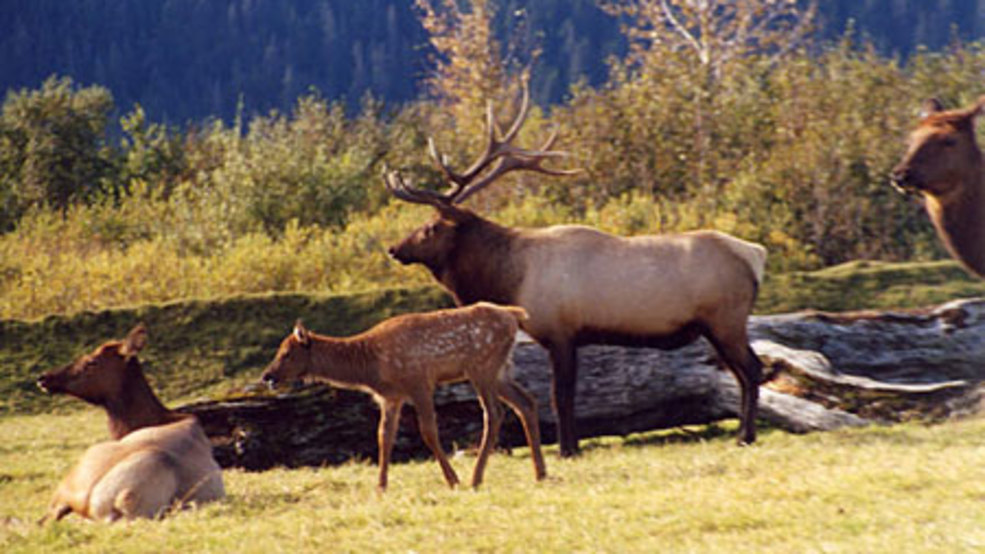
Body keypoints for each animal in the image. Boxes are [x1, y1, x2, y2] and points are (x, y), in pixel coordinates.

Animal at [259, 302, 547, 490]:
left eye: (287, 353)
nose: (267, 376)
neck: (372, 367)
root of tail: (514, 315)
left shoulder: (419, 381)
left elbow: (428, 431)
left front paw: (452, 480)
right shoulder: (390, 397)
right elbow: (384, 436)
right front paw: (381, 486)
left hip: (482, 367)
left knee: (494, 413)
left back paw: (476, 477)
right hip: (500, 370)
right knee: (527, 402)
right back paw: (540, 473)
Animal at [384, 84, 768, 457]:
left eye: (431, 227)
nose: (394, 248)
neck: (509, 279)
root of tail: (754, 255)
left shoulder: (560, 332)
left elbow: (561, 396)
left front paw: (567, 449)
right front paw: (573, 446)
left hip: (726, 319)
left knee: (753, 370)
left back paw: (745, 436)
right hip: (713, 327)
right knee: (739, 373)